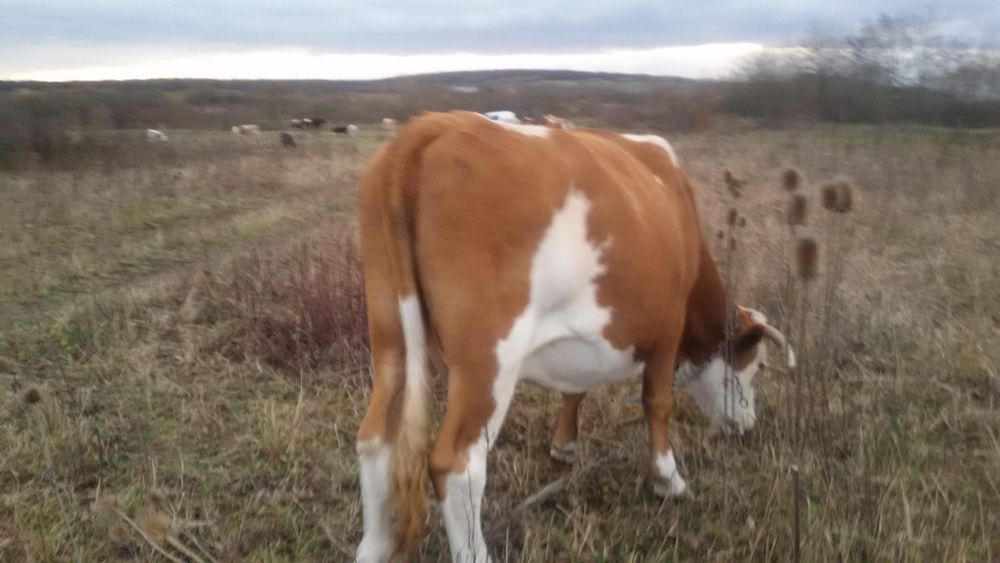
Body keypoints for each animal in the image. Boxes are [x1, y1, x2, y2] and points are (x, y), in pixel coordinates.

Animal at [354, 111, 793, 562]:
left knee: (375, 441)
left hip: (391, 334)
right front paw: (668, 479)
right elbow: (658, 403)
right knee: (457, 463)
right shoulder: (668, 324)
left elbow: (575, 389)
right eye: (756, 364)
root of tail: (436, 124)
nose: (748, 424)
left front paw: (564, 446)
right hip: (489, 359)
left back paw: (374, 547)